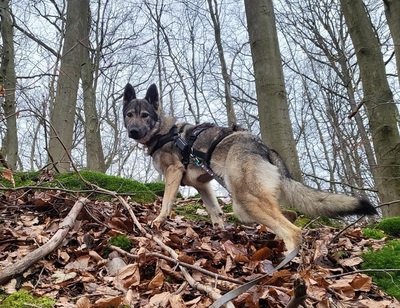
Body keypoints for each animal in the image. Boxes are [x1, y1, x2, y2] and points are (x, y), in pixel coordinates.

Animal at [122, 83, 378, 251]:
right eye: (129, 114)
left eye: (145, 115)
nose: (132, 131)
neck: (164, 132)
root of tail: (263, 147)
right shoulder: (203, 185)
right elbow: (215, 212)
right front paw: (218, 234)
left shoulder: (174, 173)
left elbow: (166, 202)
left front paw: (158, 221)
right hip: (245, 206)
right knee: (289, 216)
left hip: (244, 200)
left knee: (293, 231)